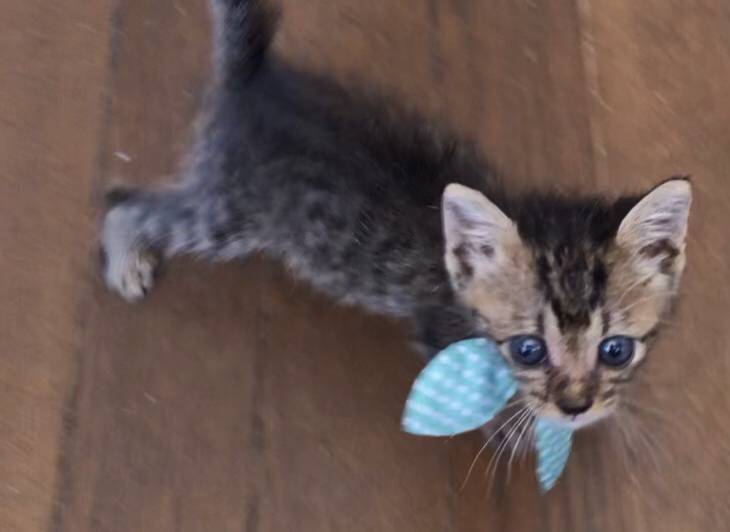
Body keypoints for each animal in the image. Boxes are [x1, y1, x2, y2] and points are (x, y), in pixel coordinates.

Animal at [101, 0, 688, 430]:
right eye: (528, 350)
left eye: (615, 350)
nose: (576, 406)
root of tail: (253, 81)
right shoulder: (437, 332)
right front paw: (525, 425)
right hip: (228, 214)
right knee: (127, 205)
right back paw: (126, 261)